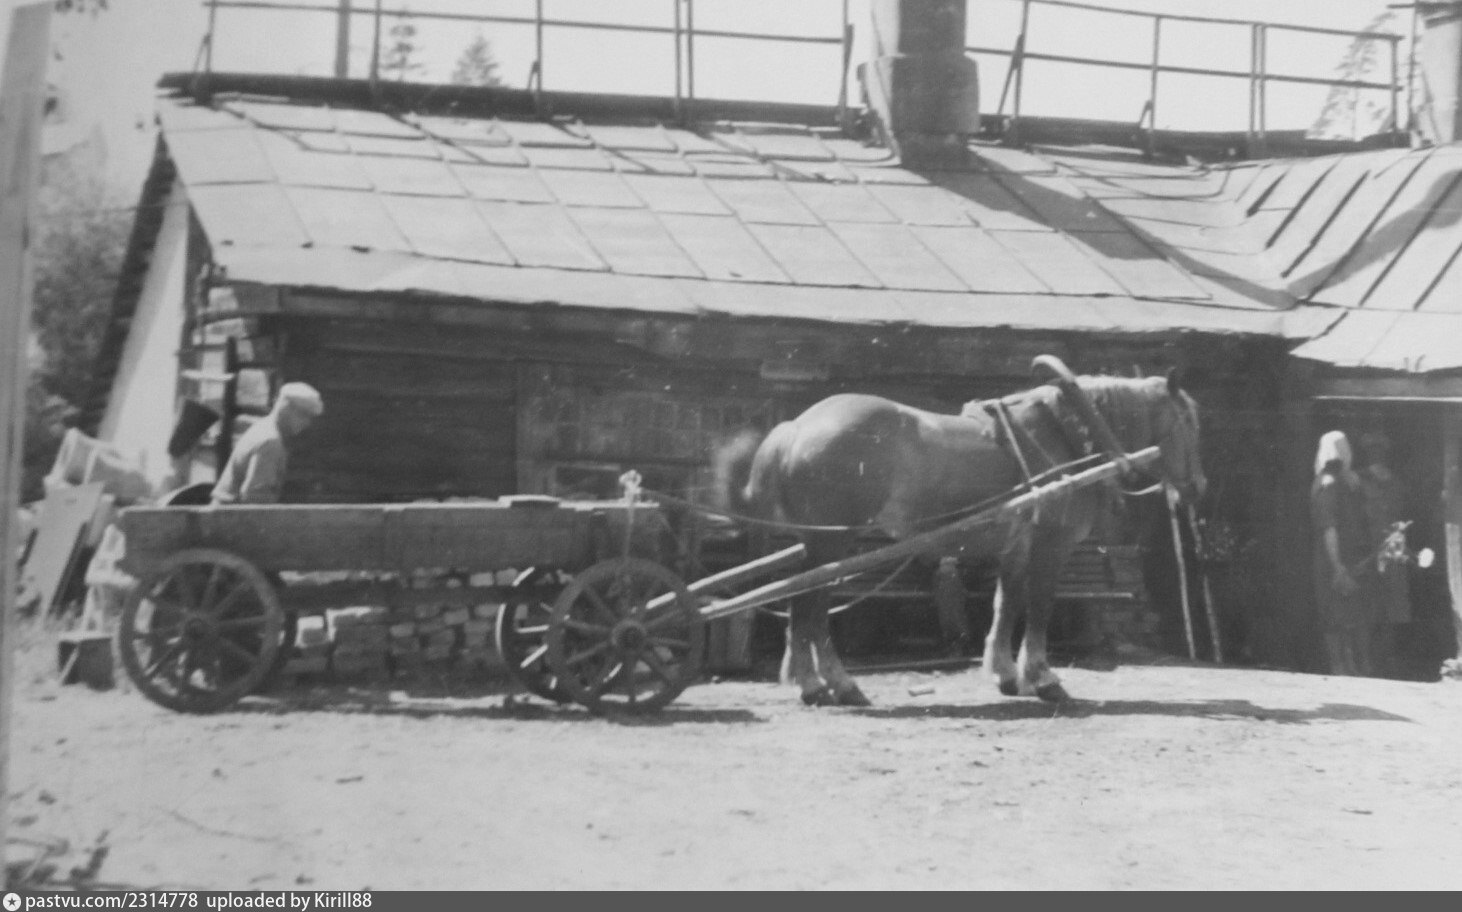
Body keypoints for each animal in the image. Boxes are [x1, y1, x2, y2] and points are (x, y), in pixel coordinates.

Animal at [714, 357, 1205, 707]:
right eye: (1187, 420)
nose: (1197, 486)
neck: (1069, 433)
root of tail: (795, 427)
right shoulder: (1051, 543)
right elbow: (1039, 608)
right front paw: (1043, 677)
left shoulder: (1017, 546)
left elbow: (1007, 603)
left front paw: (1008, 675)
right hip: (831, 540)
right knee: (810, 609)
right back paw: (828, 684)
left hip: (818, 541)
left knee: (806, 607)